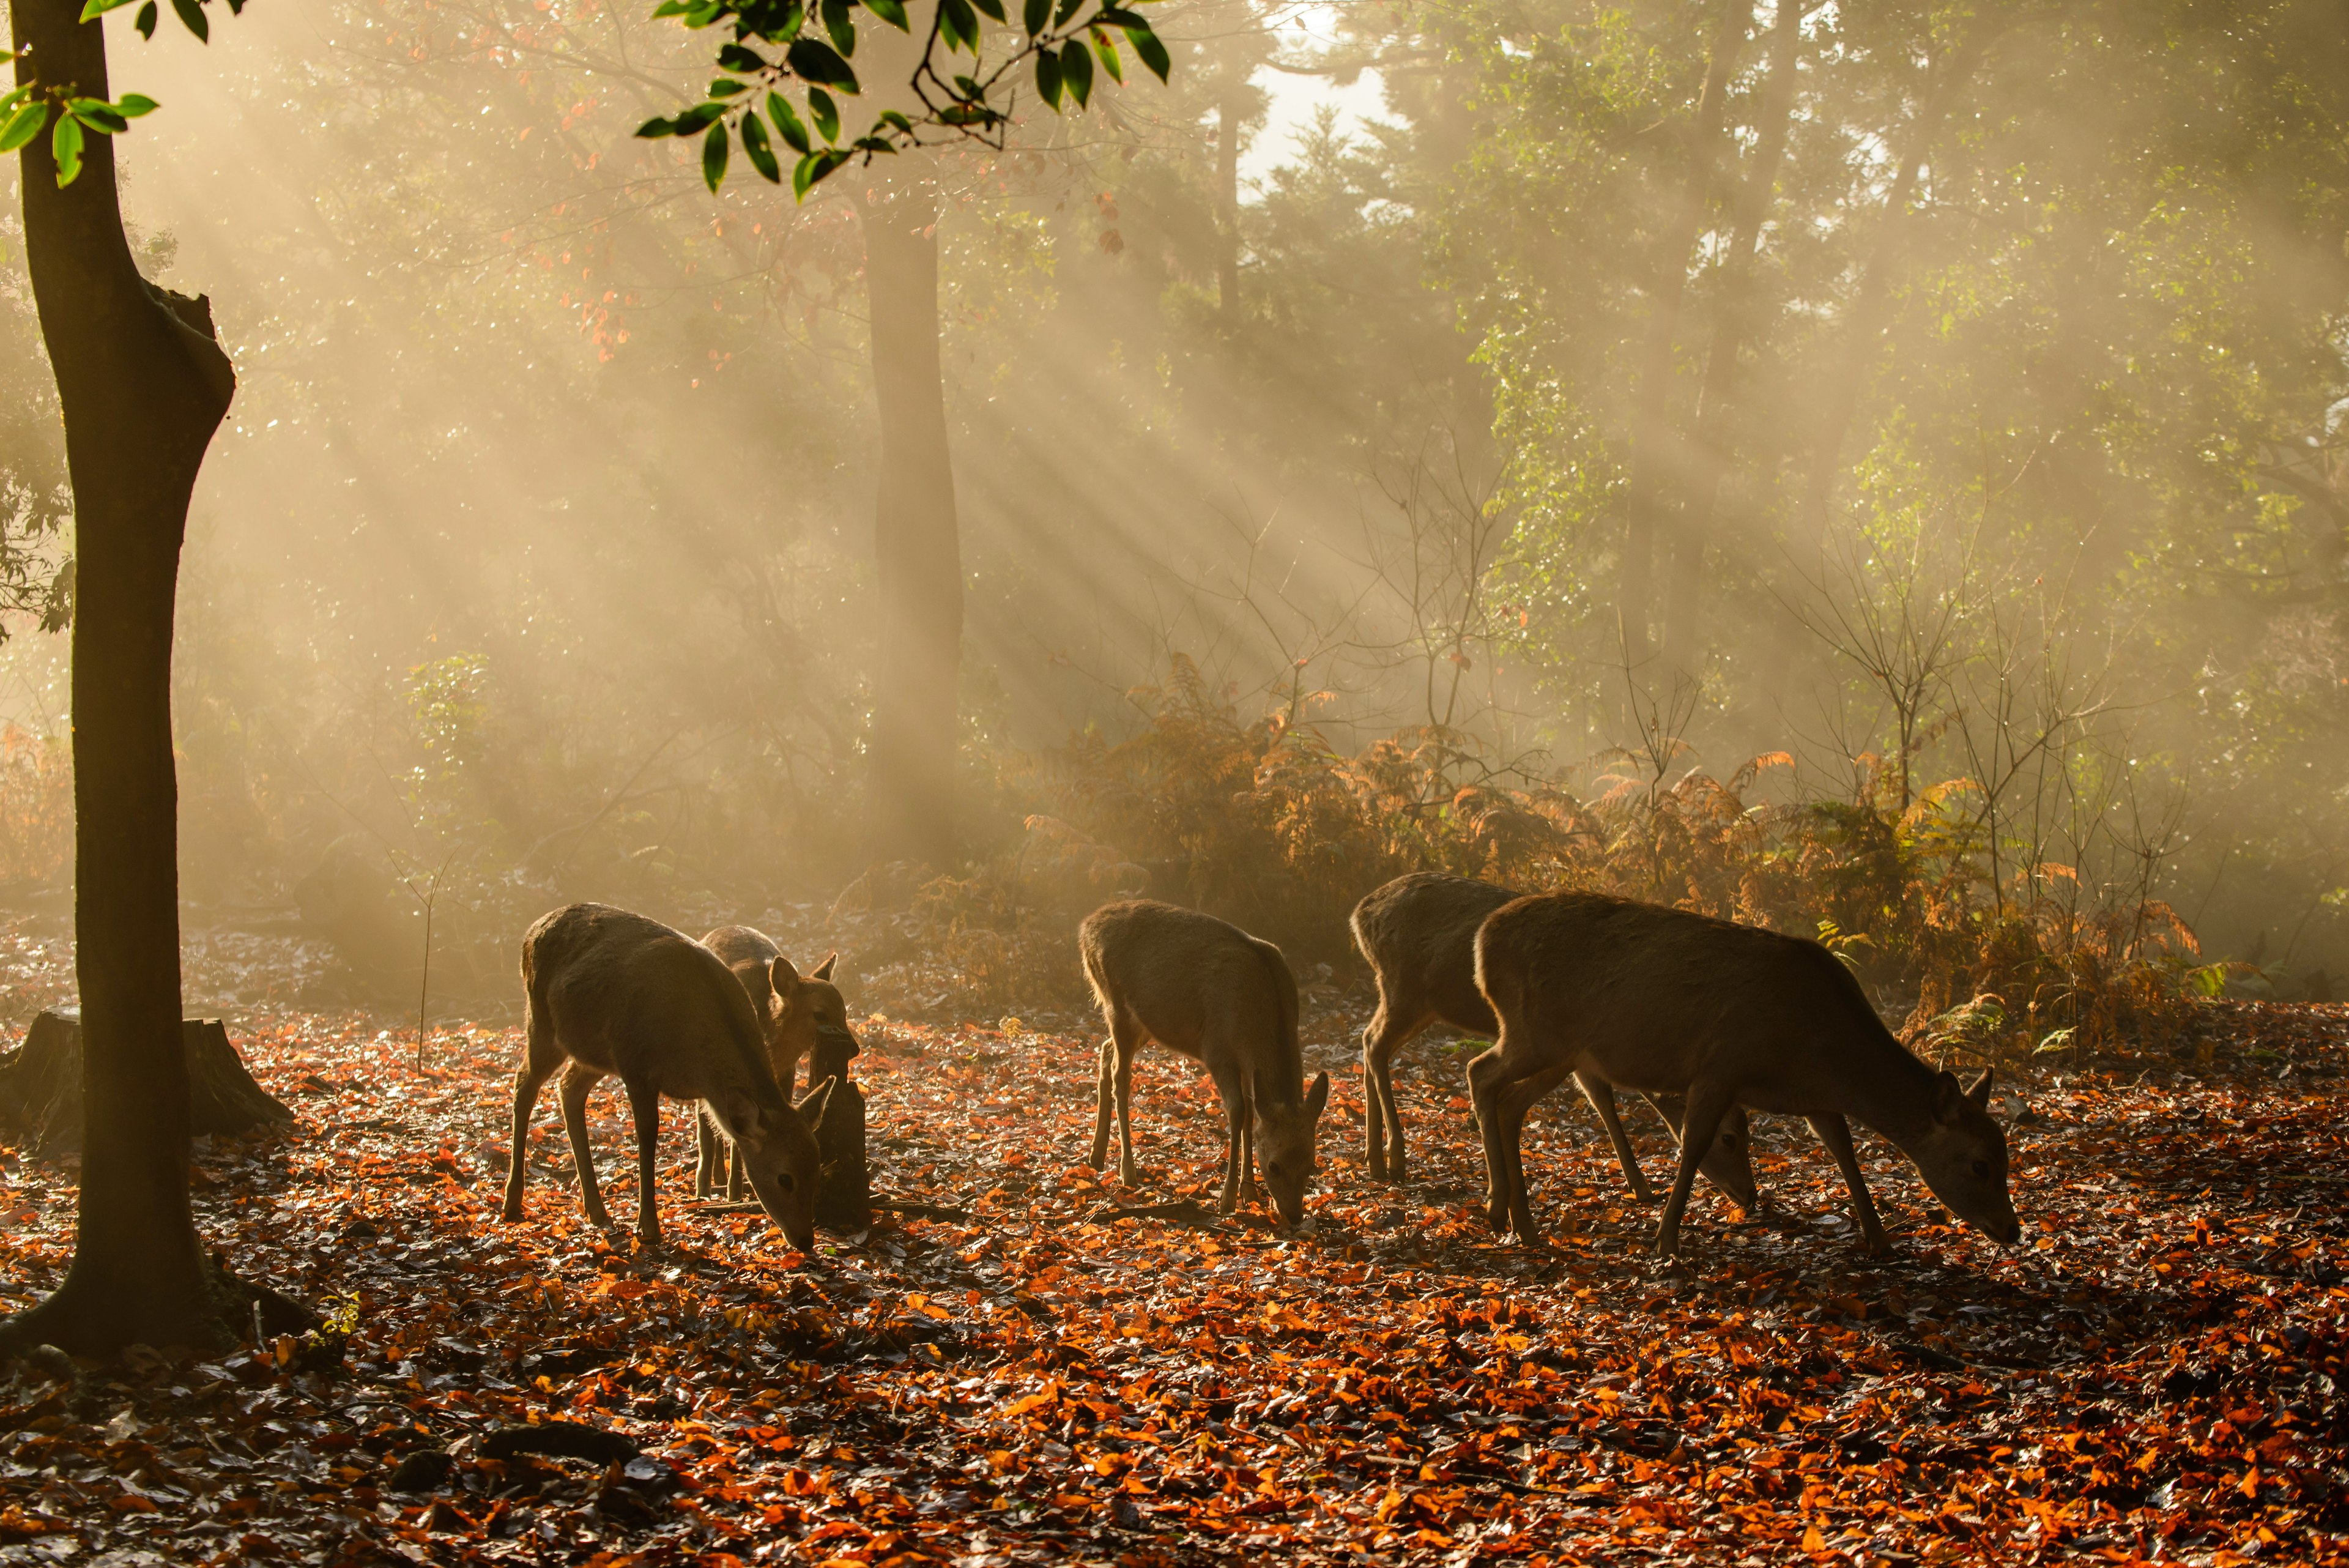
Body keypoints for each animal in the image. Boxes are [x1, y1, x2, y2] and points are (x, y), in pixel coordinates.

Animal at [686, 921, 855, 1203]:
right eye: (820, 1014)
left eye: (844, 1013)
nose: (855, 1048)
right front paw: (733, 1195)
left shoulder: (786, 1072)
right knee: (706, 1123)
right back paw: (706, 1186)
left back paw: (719, 1177)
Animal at [1075, 902, 1334, 1232]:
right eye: (1274, 1165)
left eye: (1311, 1164)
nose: (1294, 1216)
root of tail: (1087, 927)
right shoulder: (1218, 1051)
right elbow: (1238, 1112)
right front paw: (1227, 1199)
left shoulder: (1246, 1064)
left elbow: (1251, 1115)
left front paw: (1250, 1192)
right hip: (1116, 1005)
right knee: (1121, 1077)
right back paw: (1128, 1170)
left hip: (1145, 1024)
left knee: (1105, 1051)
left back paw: (1096, 1155)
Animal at [1353, 865, 1757, 1213]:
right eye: (1729, 1137)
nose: (1750, 1196)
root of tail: (1360, 914)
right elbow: (1602, 1099)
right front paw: (1642, 1186)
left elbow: (1603, 1100)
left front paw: (1640, 1185)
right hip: (1404, 989)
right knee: (1375, 1044)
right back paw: (1396, 1158)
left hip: (1412, 1001)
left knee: (1368, 1040)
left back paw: (1375, 1159)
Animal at [1466, 888, 2020, 1260]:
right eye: (1980, 1165)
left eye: (2006, 1155)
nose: (2012, 1229)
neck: (1817, 1049)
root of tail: (1481, 943)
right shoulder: (1719, 1065)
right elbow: (1693, 1144)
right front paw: (1665, 1242)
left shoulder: (1814, 1097)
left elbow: (1843, 1150)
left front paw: (1880, 1239)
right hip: (1534, 1032)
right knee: (1481, 1072)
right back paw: (1500, 1211)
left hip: (1563, 1051)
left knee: (1510, 1100)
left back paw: (1521, 1222)